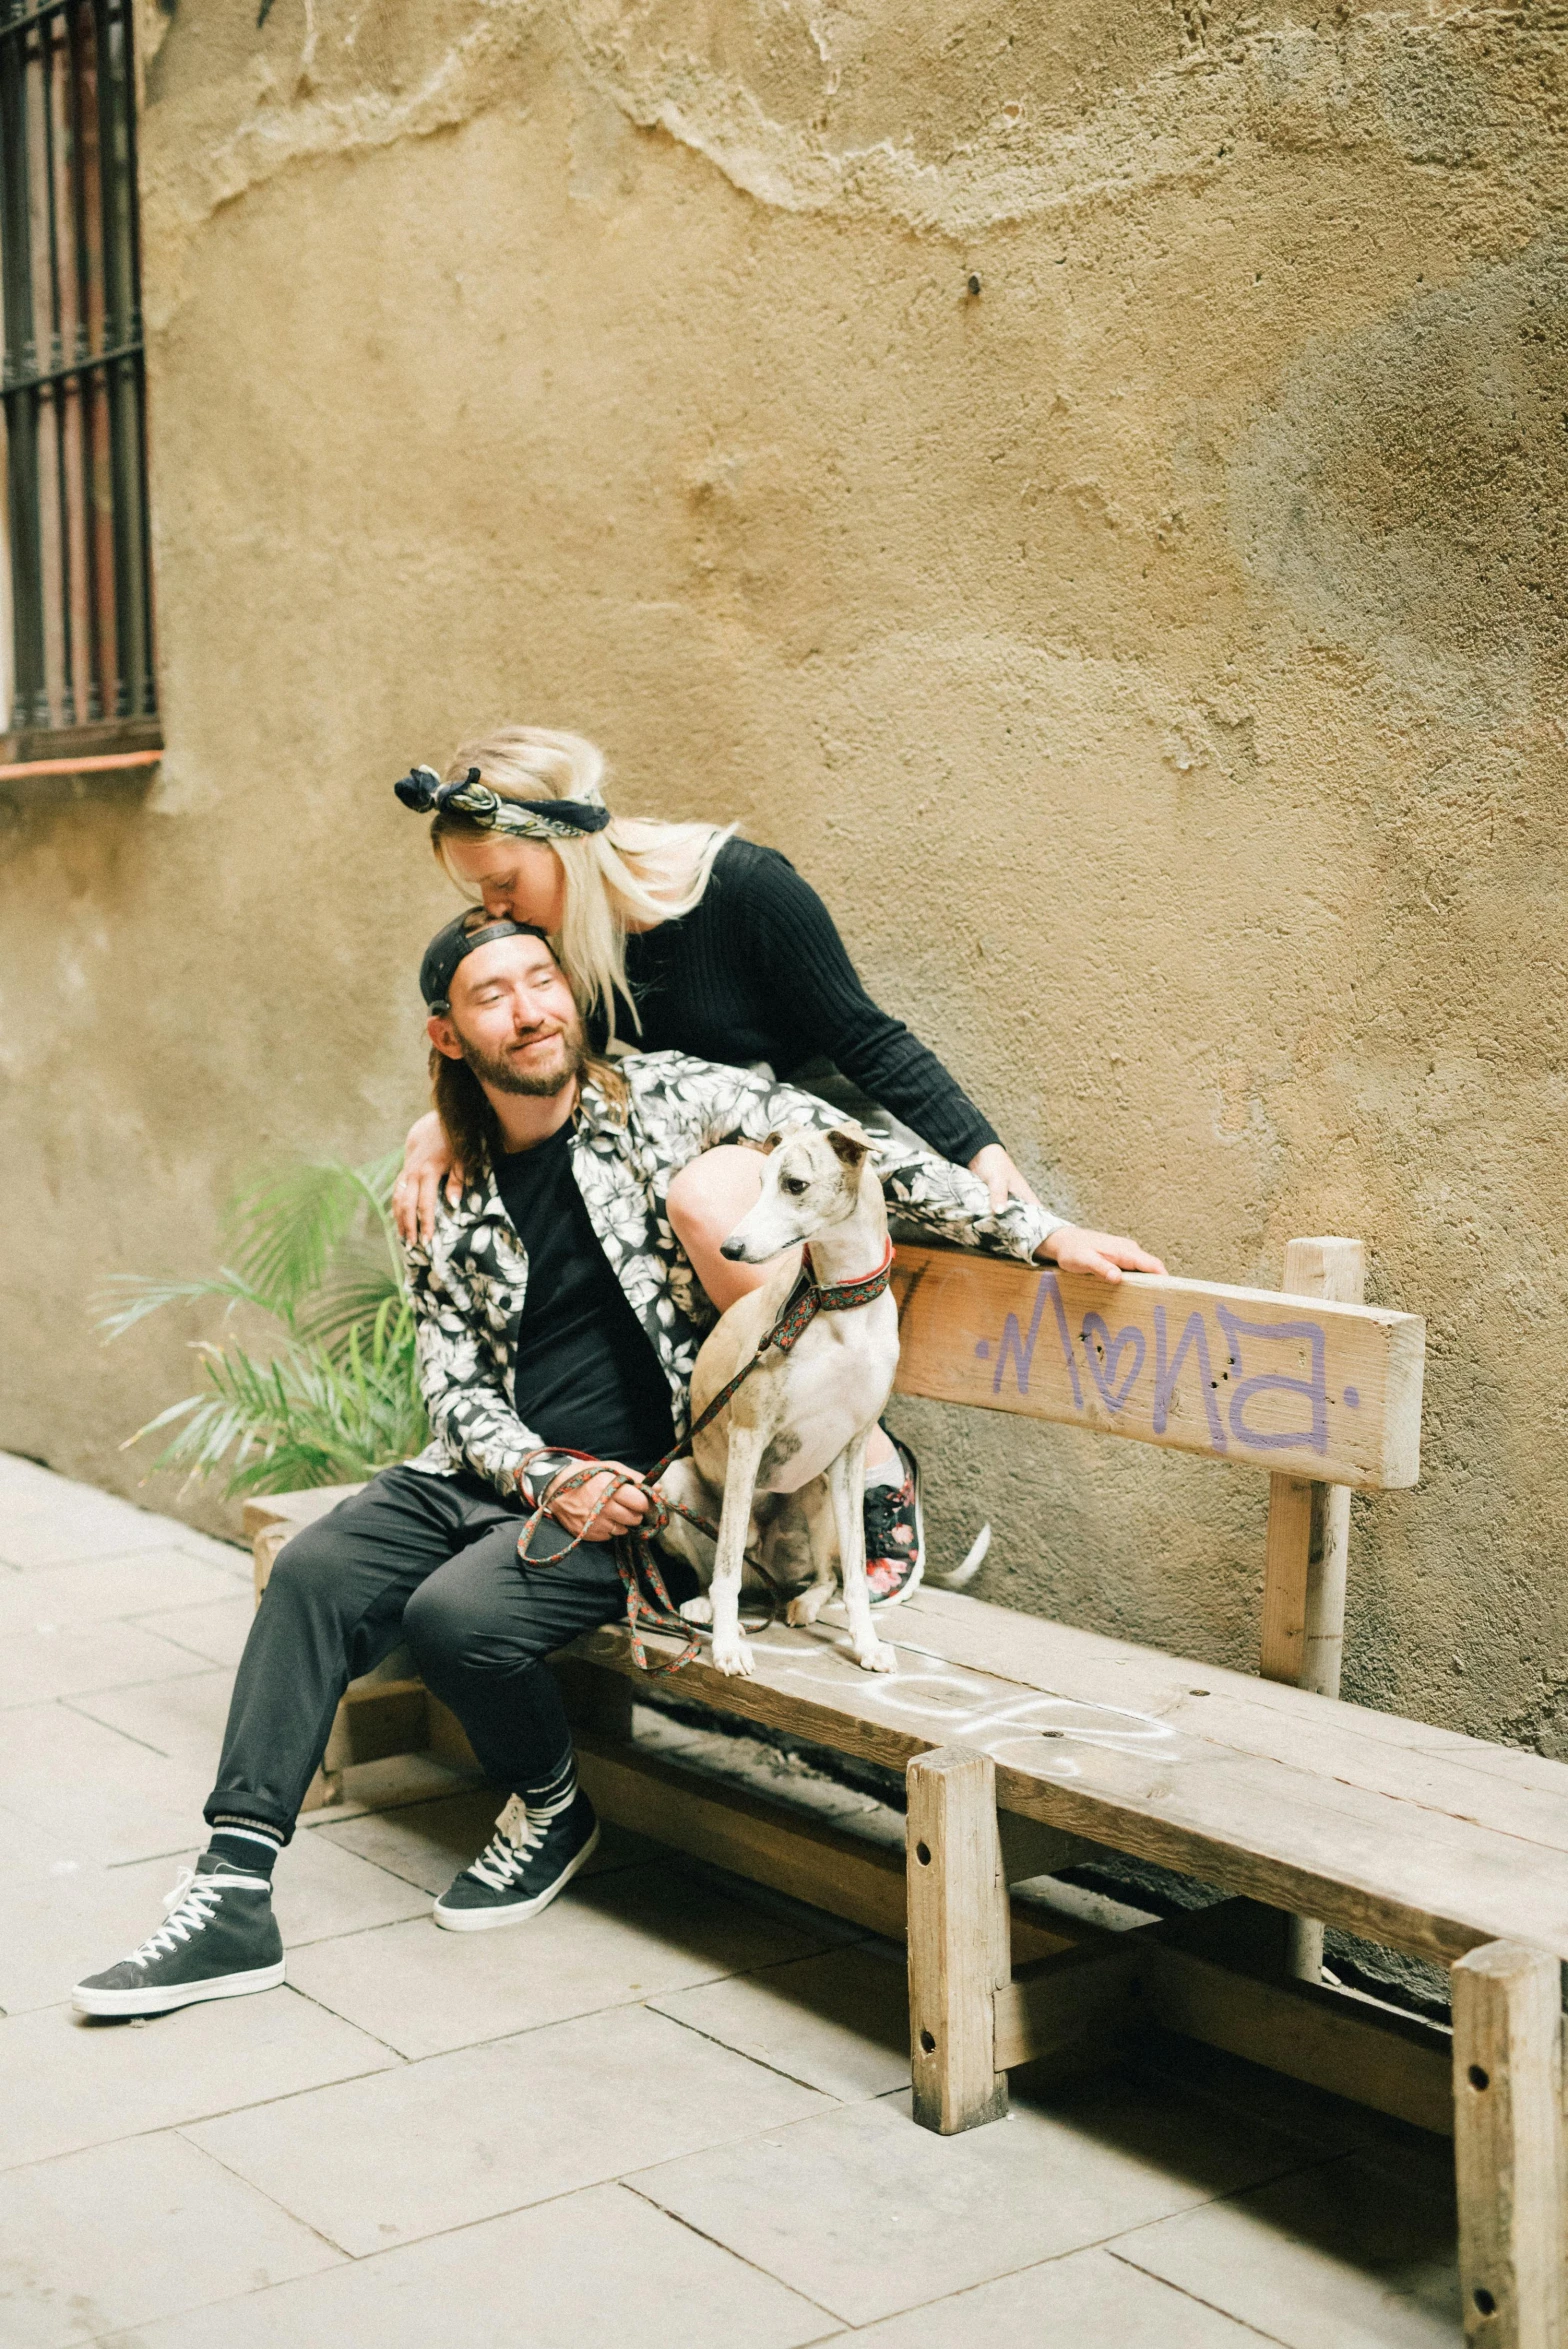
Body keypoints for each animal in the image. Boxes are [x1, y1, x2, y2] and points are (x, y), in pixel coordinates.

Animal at [652, 1127, 891, 1681]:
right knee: (725, 1570)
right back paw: (710, 1610)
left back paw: (803, 1604)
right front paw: (725, 1648)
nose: (730, 1248)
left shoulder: (851, 1450)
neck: (835, 1304)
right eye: (757, 1182)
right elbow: (725, 1574)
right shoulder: (749, 1436)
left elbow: (854, 1572)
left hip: (821, 1492)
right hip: (674, 1483)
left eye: (795, 1184)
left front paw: (867, 1645)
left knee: (825, 1576)